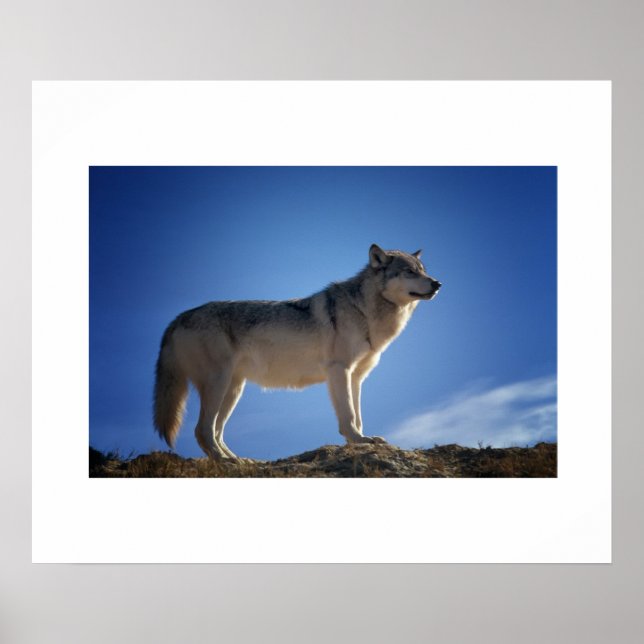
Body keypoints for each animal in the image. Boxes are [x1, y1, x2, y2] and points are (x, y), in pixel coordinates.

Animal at [153, 244, 441, 460]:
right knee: (202, 430)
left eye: (423, 271)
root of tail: (177, 318)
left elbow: (358, 415)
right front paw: (358, 441)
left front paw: (361, 440)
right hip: (219, 384)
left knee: (215, 431)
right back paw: (226, 462)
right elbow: (348, 415)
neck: (364, 311)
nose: (437, 283)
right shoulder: (339, 370)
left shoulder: (356, 377)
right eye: (409, 272)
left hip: (233, 390)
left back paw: (239, 460)